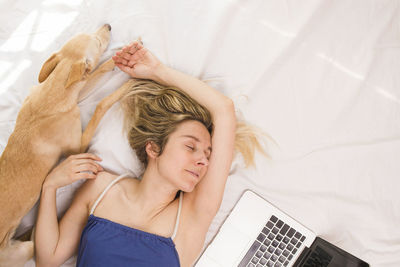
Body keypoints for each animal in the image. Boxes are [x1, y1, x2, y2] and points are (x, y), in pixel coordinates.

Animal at [0, 24, 117, 266]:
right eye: (97, 41)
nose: (108, 25)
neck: (53, 91)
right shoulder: (79, 146)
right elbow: (100, 105)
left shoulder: (78, 88)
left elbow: (95, 74)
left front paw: (115, 61)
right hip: (23, 250)